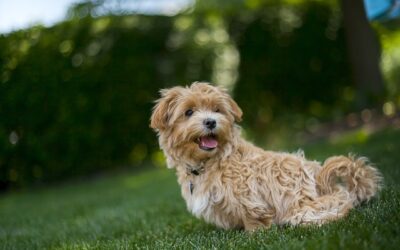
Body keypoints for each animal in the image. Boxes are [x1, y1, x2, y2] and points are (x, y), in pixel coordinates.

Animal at [149, 82, 382, 230]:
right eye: (188, 112)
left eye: (217, 110)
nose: (211, 121)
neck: (211, 161)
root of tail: (319, 175)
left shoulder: (247, 192)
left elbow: (252, 215)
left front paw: (253, 233)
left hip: (299, 203)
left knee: (340, 199)